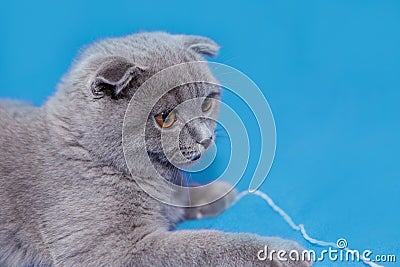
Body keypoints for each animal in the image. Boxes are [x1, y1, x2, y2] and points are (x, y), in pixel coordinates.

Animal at [0, 31, 310, 267]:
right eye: (165, 117)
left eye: (206, 103)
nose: (205, 137)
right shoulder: (115, 251)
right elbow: (202, 246)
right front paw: (280, 252)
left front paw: (214, 193)